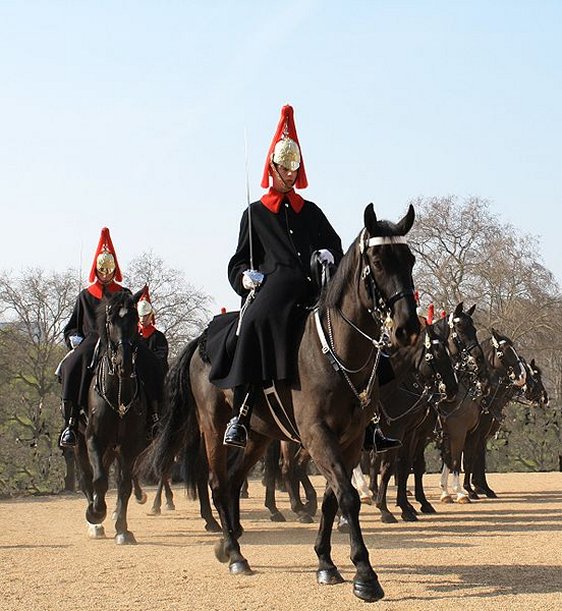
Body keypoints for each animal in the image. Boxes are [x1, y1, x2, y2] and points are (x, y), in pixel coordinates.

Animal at [73, 292, 148, 544]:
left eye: (134, 320)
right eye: (111, 320)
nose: (123, 363)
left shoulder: (129, 445)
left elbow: (123, 484)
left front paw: (122, 529)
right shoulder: (94, 438)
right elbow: (98, 480)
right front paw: (96, 514)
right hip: (78, 441)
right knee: (87, 478)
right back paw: (94, 522)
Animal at [147, 204, 418, 604]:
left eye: (410, 259)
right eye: (379, 262)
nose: (407, 328)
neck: (334, 350)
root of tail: (202, 339)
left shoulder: (351, 440)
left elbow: (333, 498)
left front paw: (326, 562)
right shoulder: (318, 435)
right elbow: (348, 496)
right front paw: (365, 575)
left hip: (260, 436)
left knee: (233, 481)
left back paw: (229, 543)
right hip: (213, 426)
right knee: (217, 481)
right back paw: (235, 554)